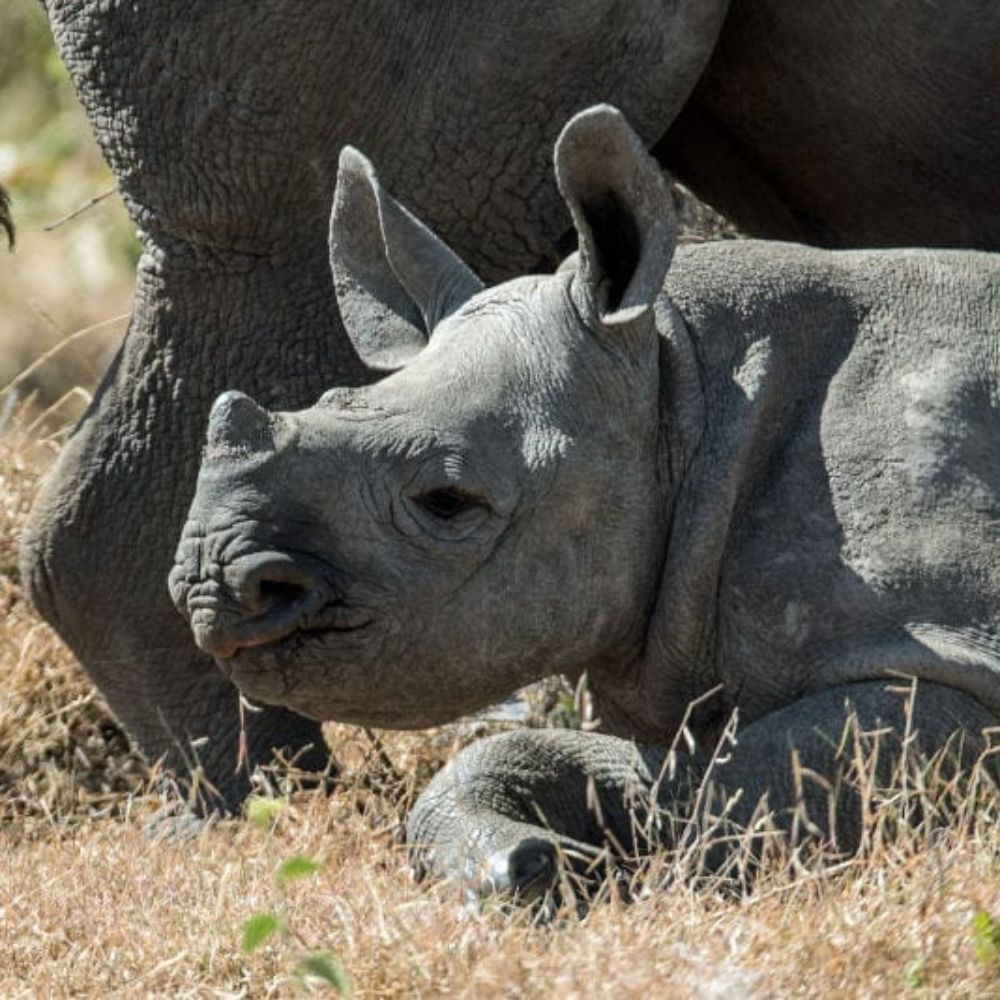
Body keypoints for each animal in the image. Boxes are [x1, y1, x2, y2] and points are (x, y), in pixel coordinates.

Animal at [170, 105, 1000, 888]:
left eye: (447, 501)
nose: (210, 584)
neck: (684, 388)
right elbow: (612, 768)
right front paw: (532, 863)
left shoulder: (945, 642)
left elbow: (737, 793)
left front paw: (598, 875)